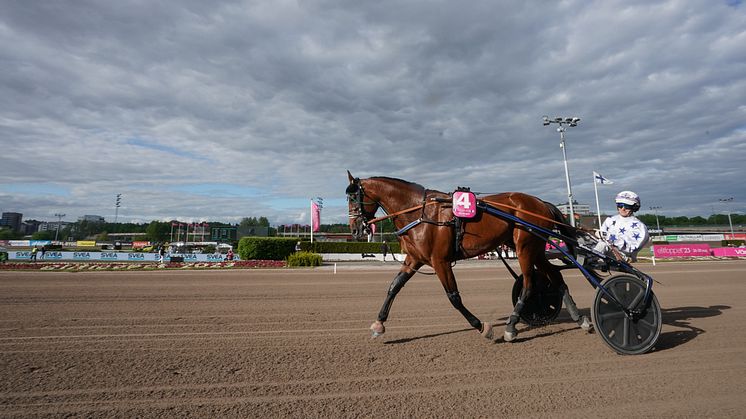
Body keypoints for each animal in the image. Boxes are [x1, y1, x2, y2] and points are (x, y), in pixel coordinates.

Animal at [344, 172, 588, 342]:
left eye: (353, 197)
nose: (355, 230)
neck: (420, 212)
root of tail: (541, 202)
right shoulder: (414, 259)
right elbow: (394, 287)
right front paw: (379, 325)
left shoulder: (440, 261)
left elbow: (454, 297)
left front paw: (482, 327)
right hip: (534, 248)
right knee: (555, 276)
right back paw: (579, 318)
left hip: (525, 247)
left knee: (529, 285)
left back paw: (511, 327)